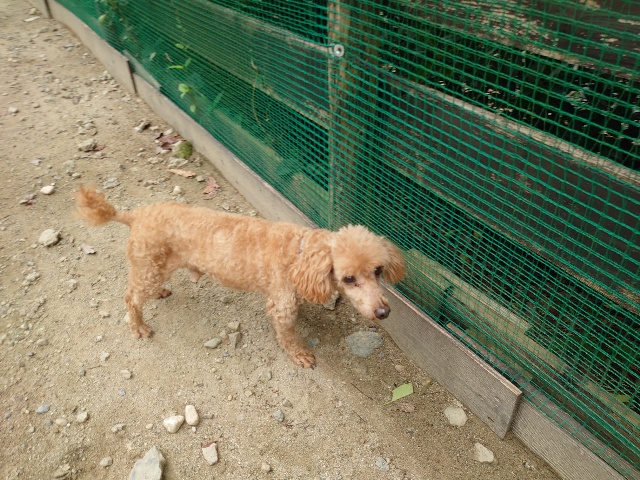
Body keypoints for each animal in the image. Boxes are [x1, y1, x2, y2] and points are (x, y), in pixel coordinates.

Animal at [76, 186, 406, 368]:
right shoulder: (281, 304)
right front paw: (299, 354)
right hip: (148, 265)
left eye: (378, 271)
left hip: (155, 267)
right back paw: (139, 327)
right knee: (131, 297)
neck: (301, 253)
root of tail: (135, 215)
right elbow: (288, 335)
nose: (383, 312)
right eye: (349, 278)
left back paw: (158, 294)